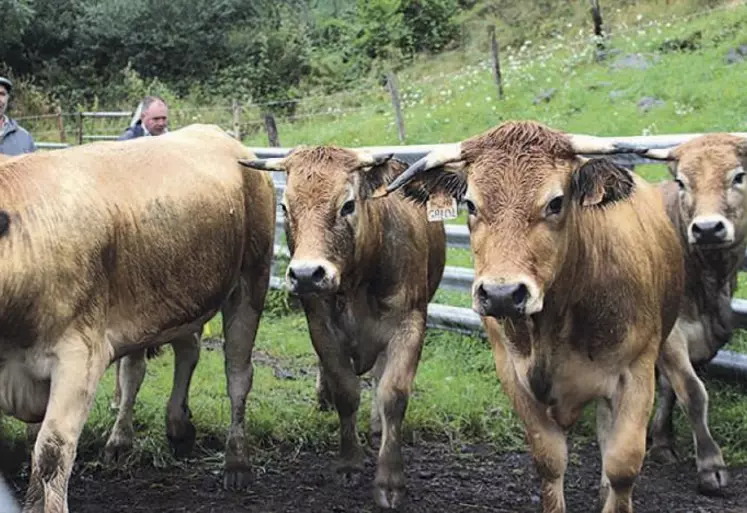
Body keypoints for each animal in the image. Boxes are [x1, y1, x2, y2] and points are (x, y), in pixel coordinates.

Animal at [0, 124, 278, 512]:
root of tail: (214, 131)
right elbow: (34, 448)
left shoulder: (79, 358)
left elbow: (51, 453)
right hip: (172, 298)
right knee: (163, 360)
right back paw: (155, 431)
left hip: (251, 279)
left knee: (237, 374)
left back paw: (236, 463)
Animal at [238, 147, 444, 508]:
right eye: (285, 207)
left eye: (347, 205)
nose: (307, 274)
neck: (356, 282)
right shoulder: (322, 328)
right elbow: (345, 391)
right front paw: (349, 463)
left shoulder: (409, 325)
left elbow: (393, 394)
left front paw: (390, 481)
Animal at [380, 121, 688, 512]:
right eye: (470, 203)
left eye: (556, 202)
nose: (501, 294)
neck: (554, 326)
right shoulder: (513, 374)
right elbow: (549, 459)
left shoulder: (637, 371)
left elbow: (623, 466)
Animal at [640, 134, 747, 494]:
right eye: (681, 182)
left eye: (738, 176)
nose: (708, 228)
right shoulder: (669, 333)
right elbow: (693, 392)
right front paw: (711, 466)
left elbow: (669, 389)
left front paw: (661, 442)